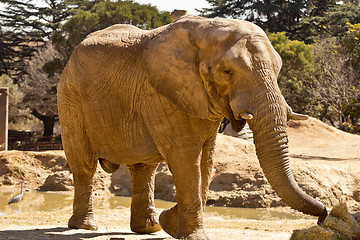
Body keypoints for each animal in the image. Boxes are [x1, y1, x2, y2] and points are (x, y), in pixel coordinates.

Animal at [57, 15, 328, 240]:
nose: (323, 216)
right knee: (84, 165)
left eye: (278, 69)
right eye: (227, 72)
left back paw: (150, 228)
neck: (206, 30)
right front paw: (192, 235)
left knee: (144, 168)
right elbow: (186, 157)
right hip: (70, 100)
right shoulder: (161, 94)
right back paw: (85, 226)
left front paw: (170, 223)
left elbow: (206, 160)